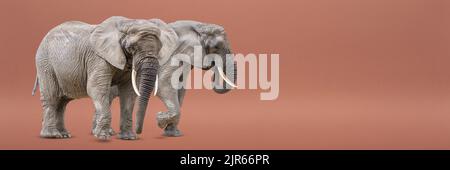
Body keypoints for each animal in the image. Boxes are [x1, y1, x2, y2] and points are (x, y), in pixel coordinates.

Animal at [32, 16, 178, 140]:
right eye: (132, 48)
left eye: (160, 48)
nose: (159, 116)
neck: (126, 23)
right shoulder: (98, 58)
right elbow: (96, 88)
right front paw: (102, 137)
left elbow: (129, 93)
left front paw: (129, 138)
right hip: (45, 63)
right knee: (52, 97)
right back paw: (52, 135)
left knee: (62, 102)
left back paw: (64, 135)